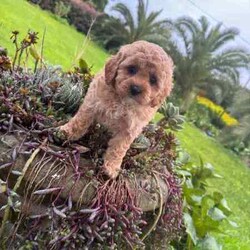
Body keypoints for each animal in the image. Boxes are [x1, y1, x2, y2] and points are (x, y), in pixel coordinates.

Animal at [60, 40, 174, 178]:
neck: (122, 101)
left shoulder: (129, 129)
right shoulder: (92, 103)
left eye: (153, 80)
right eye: (132, 69)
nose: (135, 89)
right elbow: (80, 121)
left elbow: (119, 148)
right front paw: (67, 132)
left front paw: (111, 167)